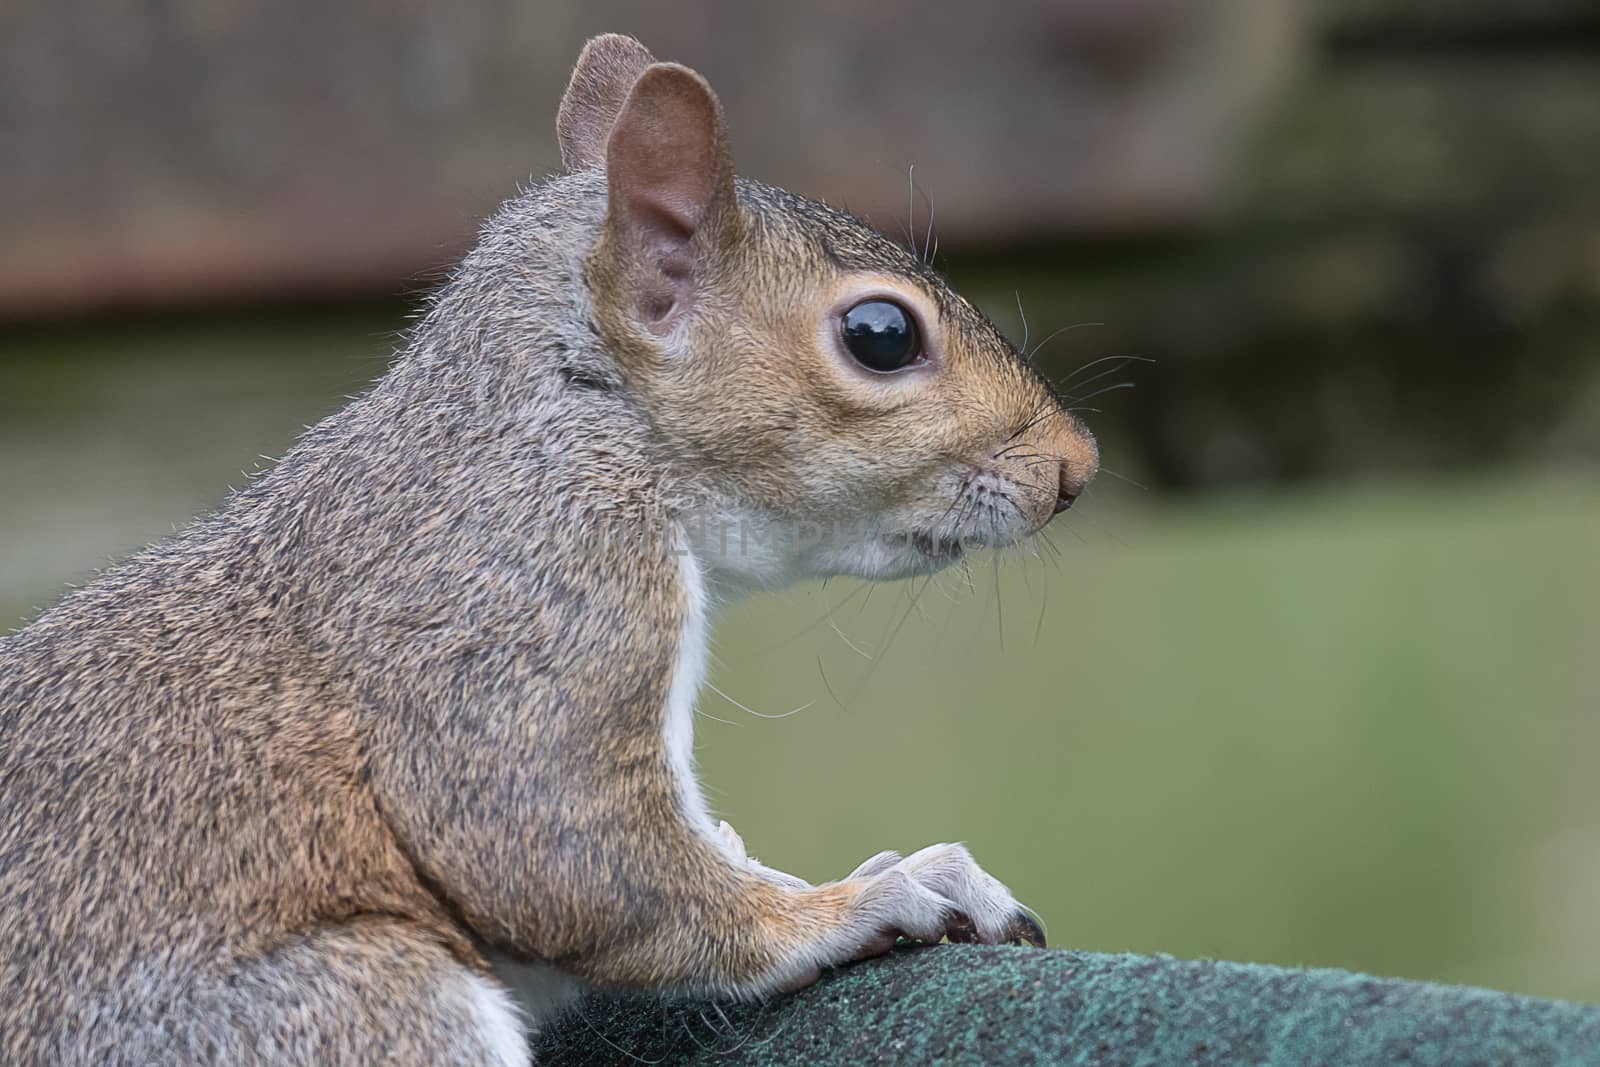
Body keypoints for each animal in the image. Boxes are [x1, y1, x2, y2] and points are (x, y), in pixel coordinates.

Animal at [0, 33, 1094, 1067]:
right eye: (879, 334)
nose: (1074, 466)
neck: (575, 421)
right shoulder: (526, 600)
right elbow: (567, 853)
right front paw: (866, 897)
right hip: (352, 1001)